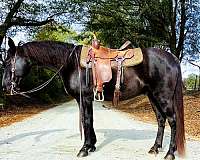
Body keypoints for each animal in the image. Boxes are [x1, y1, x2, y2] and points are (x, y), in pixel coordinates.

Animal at [1, 38, 186, 159]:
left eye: (8, 61)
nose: (5, 86)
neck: (71, 63)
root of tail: (172, 58)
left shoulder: (84, 98)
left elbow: (86, 121)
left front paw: (84, 148)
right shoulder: (84, 100)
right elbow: (88, 120)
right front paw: (91, 145)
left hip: (163, 96)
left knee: (172, 120)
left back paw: (170, 153)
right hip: (152, 96)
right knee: (161, 120)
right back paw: (155, 148)